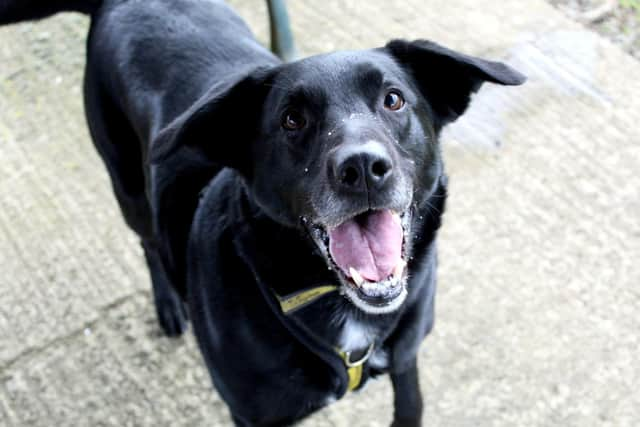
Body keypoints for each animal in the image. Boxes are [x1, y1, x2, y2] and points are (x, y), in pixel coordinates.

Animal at [0, 0, 524, 426]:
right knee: (148, 241)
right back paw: (169, 304)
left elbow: (410, 404)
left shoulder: (407, 357)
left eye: (393, 99)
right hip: (127, 184)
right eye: (292, 119)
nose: (362, 168)